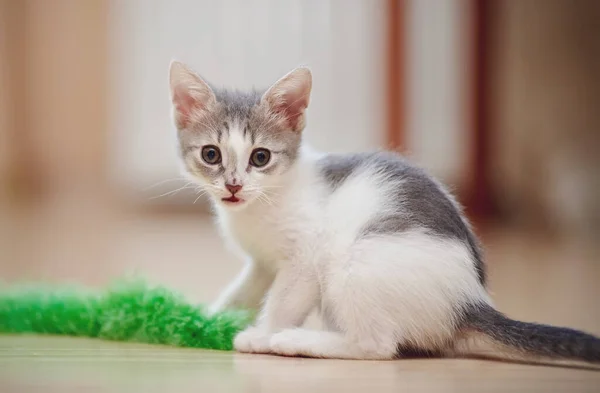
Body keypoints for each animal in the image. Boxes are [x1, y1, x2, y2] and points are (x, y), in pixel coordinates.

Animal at [168, 60, 600, 364]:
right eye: (211, 155)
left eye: (260, 157)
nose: (233, 185)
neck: (265, 201)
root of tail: (468, 300)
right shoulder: (262, 263)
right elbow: (245, 289)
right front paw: (207, 316)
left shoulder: (306, 257)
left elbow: (284, 300)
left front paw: (263, 332)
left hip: (353, 260)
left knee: (376, 346)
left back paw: (297, 341)